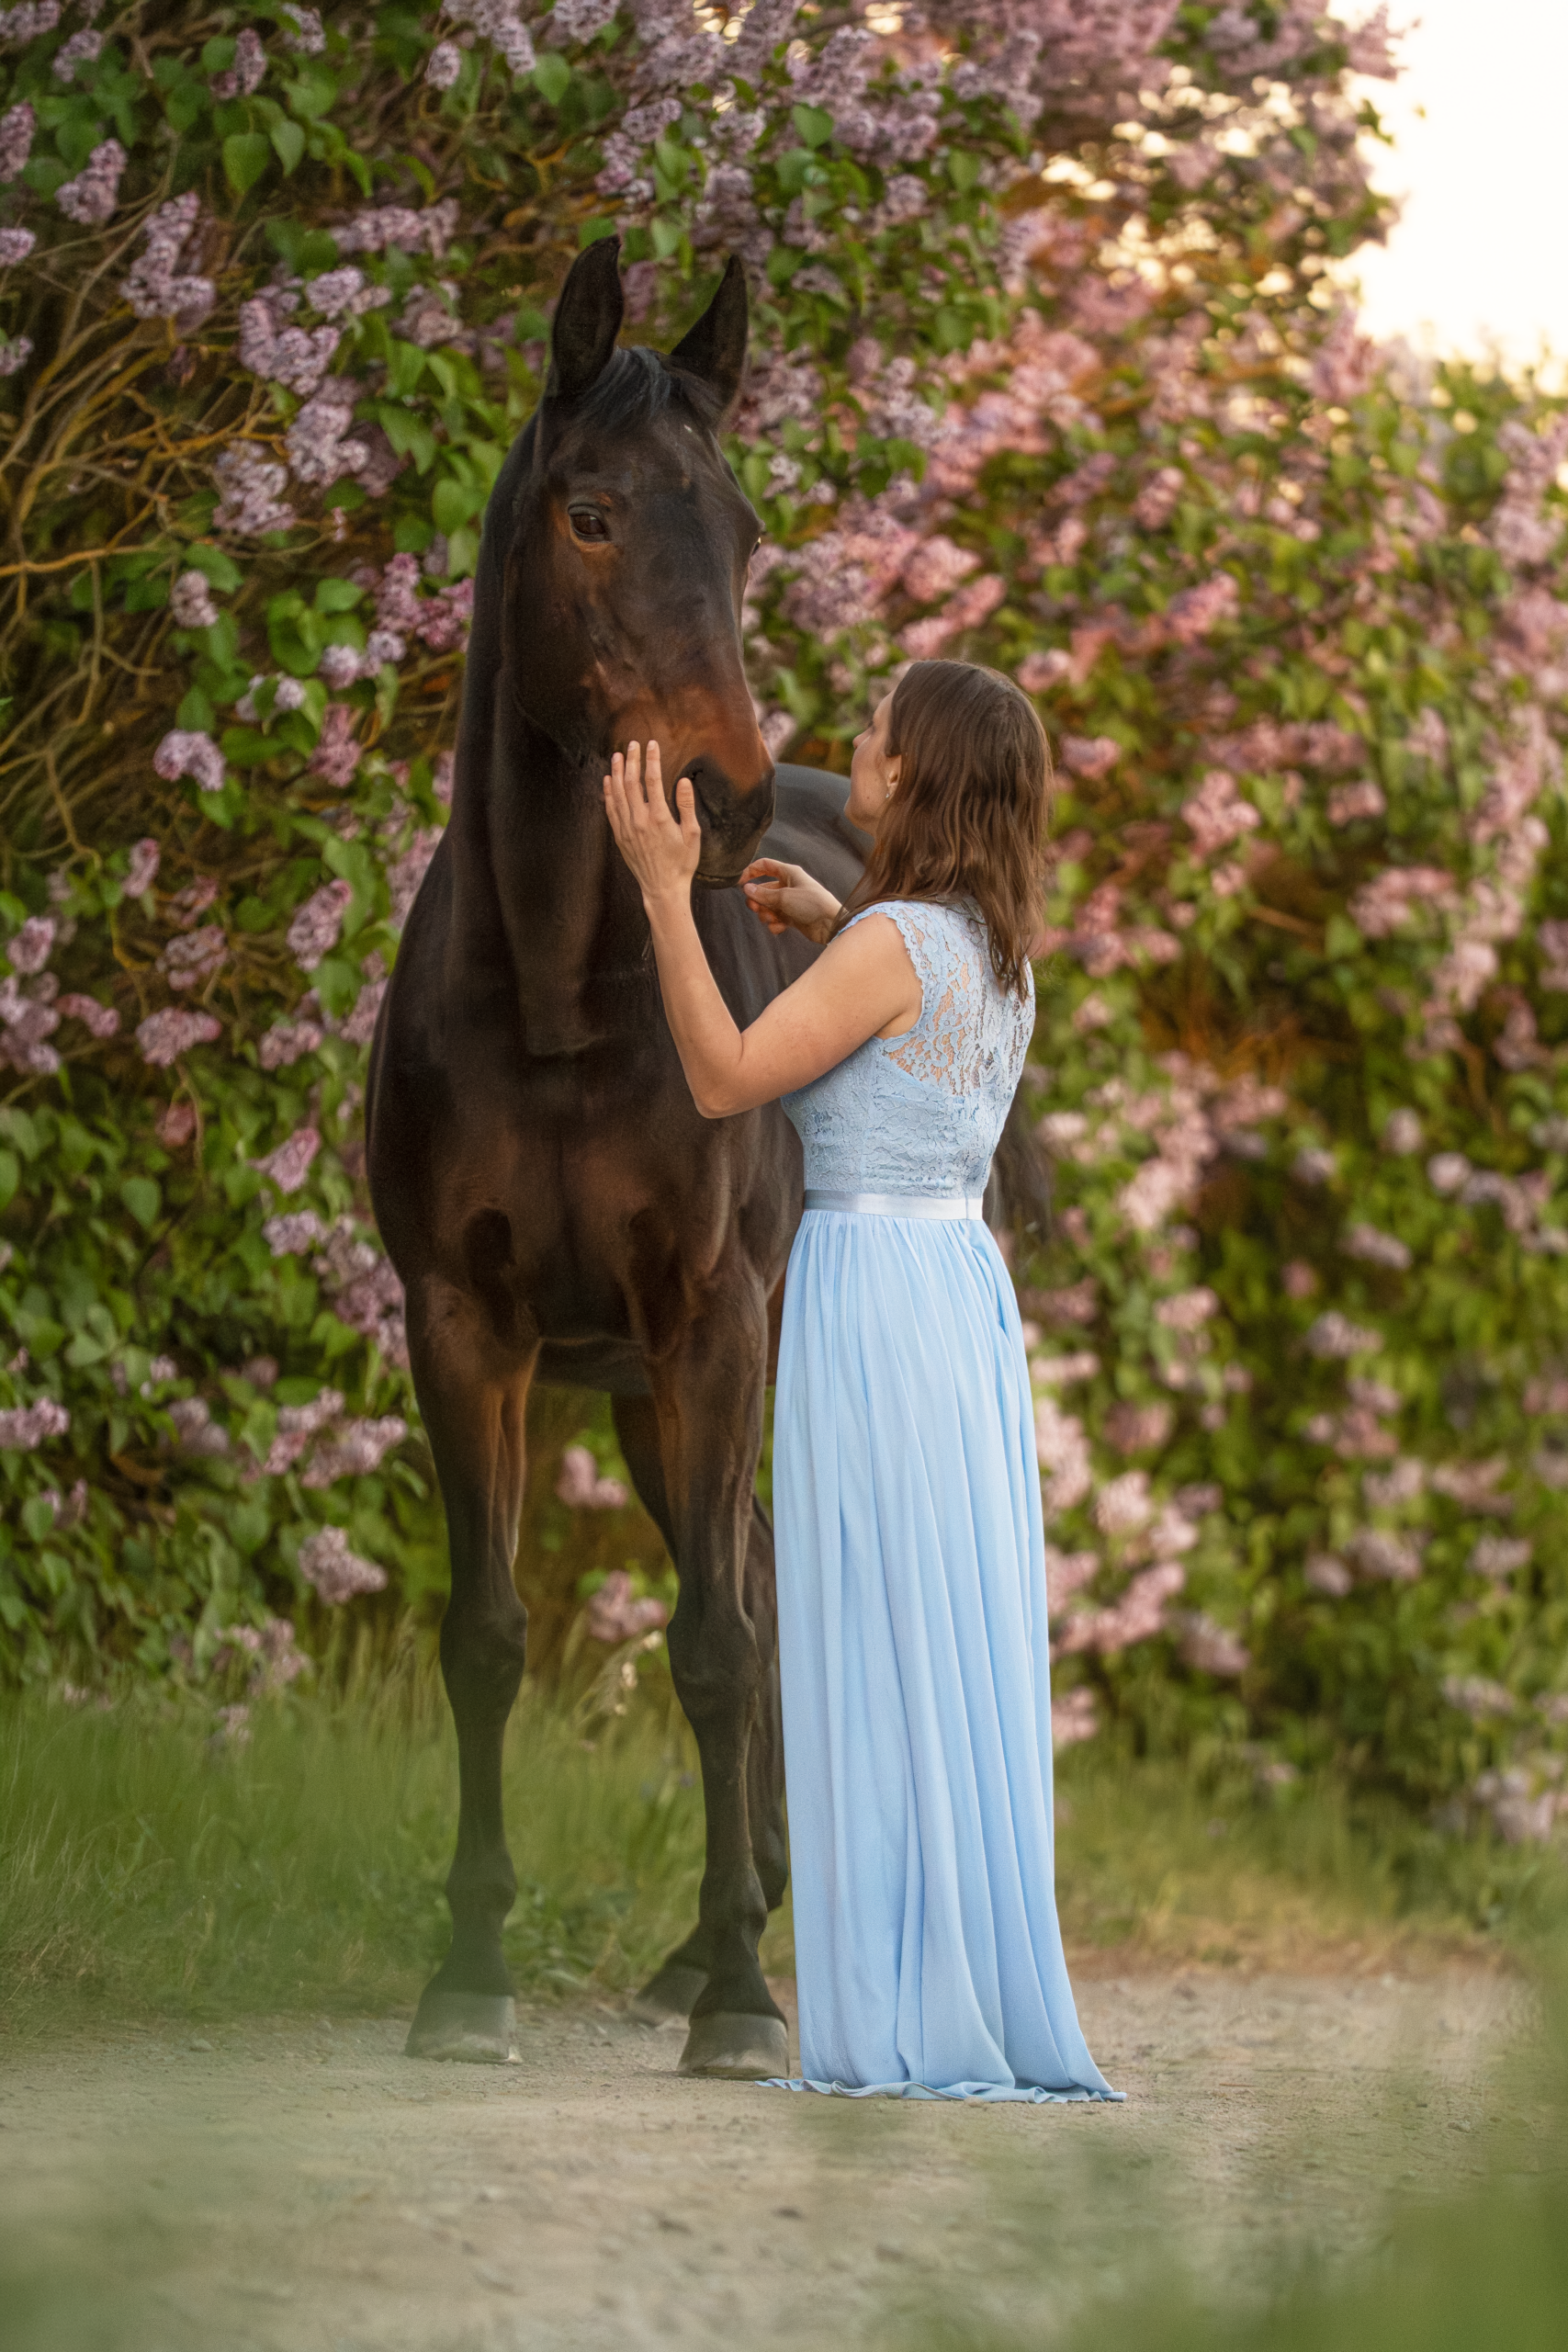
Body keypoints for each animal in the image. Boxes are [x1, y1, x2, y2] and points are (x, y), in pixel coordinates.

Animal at [366, 238, 869, 2078]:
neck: (560, 997)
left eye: (739, 525)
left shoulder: (704, 1318)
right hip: (653, 1399)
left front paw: (739, 2006)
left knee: (754, 1595)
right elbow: (487, 1635)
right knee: (758, 1570)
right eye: (588, 513)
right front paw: (465, 1975)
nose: (718, 803)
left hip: (726, 1358)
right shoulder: (466, 1328)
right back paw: (715, 1930)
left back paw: (742, 1947)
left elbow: (711, 1651)